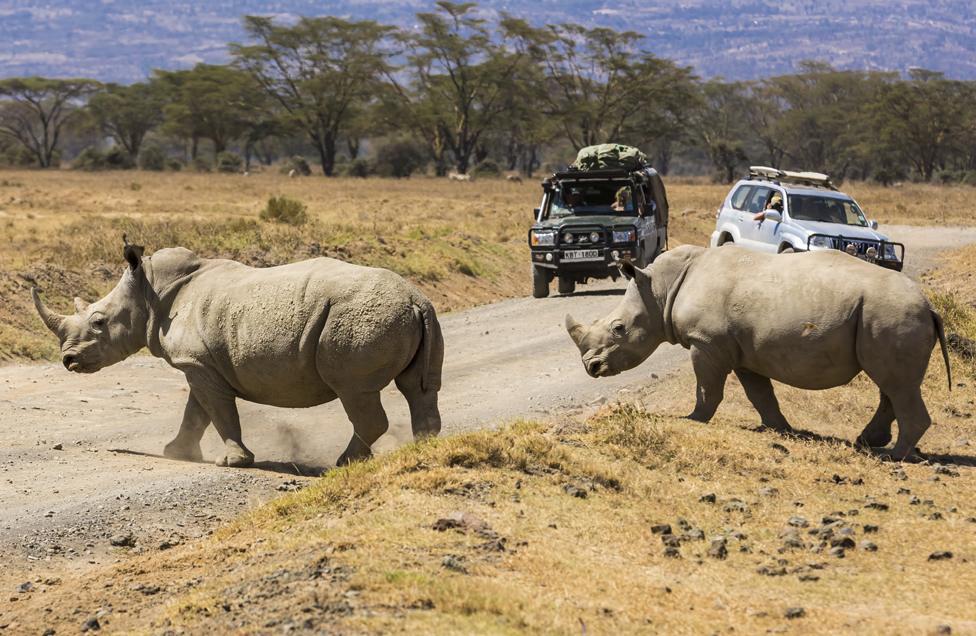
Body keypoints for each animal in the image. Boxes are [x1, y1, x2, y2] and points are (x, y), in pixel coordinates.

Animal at [30, 238, 442, 468]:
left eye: (98, 322)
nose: (68, 360)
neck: (149, 293)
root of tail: (415, 298)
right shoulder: (200, 363)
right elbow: (197, 411)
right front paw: (175, 452)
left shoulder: (197, 362)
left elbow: (218, 411)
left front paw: (231, 462)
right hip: (415, 316)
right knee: (419, 389)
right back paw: (422, 450)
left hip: (355, 319)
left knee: (355, 391)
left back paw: (344, 464)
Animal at [568, 242, 948, 458]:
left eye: (619, 328)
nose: (592, 367)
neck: (661, 289)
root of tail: (930, 307)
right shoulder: (740, 351)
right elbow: (760, 394)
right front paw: (781, 430)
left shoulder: (706, 342)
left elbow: (707, 389)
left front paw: (692, 420)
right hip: (885, 316)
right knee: (891, 384)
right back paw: (869, 442)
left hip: (891, 313)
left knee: (896, 384)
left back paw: (892, 456)